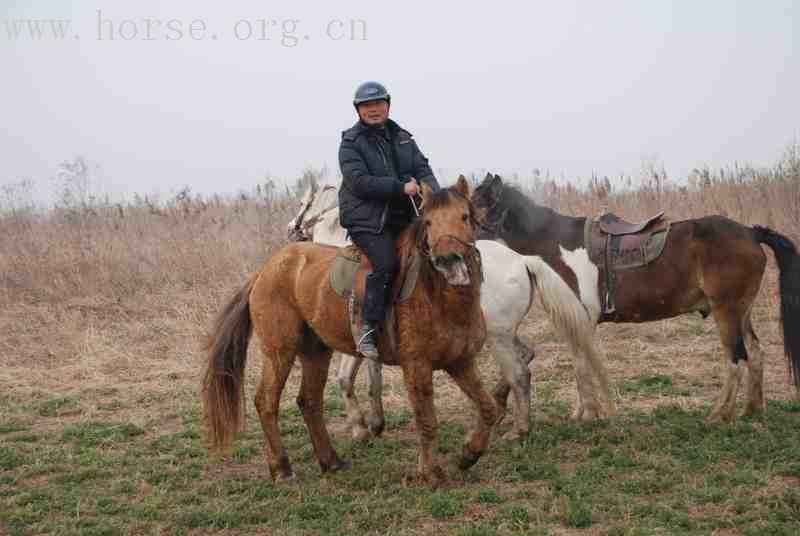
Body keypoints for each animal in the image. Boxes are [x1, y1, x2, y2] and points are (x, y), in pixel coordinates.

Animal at [203, 178, 496, 488]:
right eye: (428, 221)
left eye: (464, 217)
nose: (449, 261)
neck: (439, 298)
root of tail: (264, 271)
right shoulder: (417, 367)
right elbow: (427, 421)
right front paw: (431, 473)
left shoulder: (461, 362)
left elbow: (489, 408)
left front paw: (468, 455)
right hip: (279, 351)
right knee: (267, 401)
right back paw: (282, 467)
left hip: (315, 352)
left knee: (309, 401)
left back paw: (330, 461)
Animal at [288, 180, 612, 440]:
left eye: (304, 203)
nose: (292, 228)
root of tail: (522, 260)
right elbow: (372, 376)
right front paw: (375, 422)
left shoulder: (355, 339)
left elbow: (346, 378)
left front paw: (359, 428)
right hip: (503, 334)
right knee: (526, 356)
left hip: (498, 337)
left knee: (520, 372)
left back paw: (518, 427)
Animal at [468, 174, 800, 420]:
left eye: (472, 208)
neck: (557, 244)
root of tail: (750, 232)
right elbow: (581, 362)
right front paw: (583, 412)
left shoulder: (580, 318)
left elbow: (581, 363)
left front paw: (588, 414)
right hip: (742, 311)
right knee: (755, 353)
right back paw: (751, 410)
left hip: (726, 312)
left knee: (736, 358)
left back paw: (720, 414)